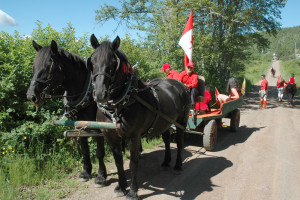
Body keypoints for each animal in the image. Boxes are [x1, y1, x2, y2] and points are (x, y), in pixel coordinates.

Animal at [26, 40, 106, 188]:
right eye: (34, 67)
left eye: (48, 67)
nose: (31, 96)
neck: (86, 93)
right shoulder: (80, 125)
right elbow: (84, 149)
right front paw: (86, 172)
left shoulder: (99, 126)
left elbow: (99, 152)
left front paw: (101, 177)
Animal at [88, 34, 190, 200]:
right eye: (92, 61)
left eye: (113, 62)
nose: (100, 94)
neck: (118, 106)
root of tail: (180, 85)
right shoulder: (111, 136)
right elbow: (118, 161)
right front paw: (121, 186)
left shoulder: (134, 137)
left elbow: (133, 163)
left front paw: (132, 191)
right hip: (165, 122)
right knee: (167, 141)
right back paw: (166, 162)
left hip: (182, 120)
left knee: (180, 143)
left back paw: (177, 165)